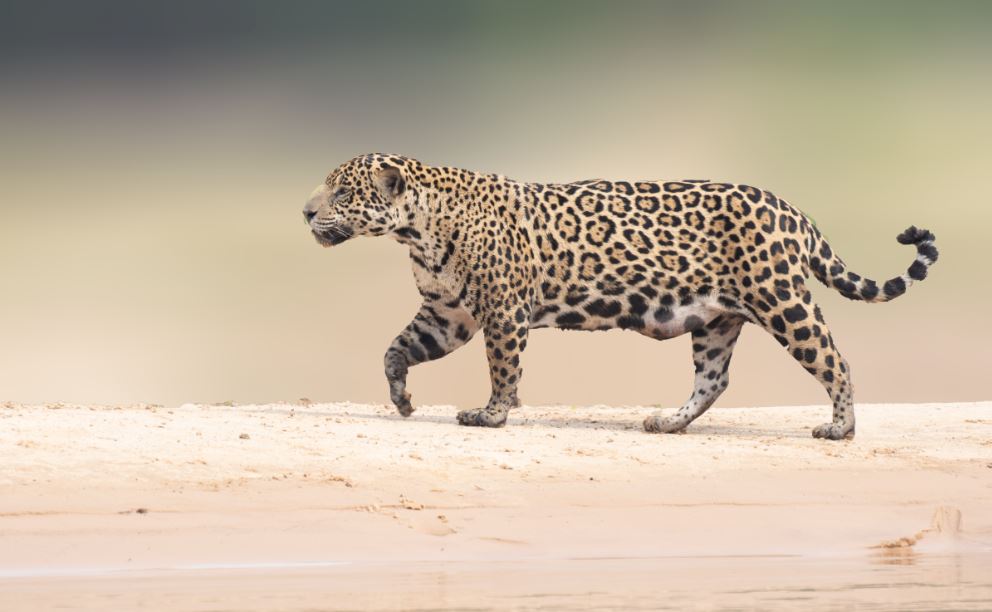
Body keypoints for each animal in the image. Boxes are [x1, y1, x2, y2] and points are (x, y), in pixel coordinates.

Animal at [303, 154, 938, 440]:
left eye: (341, 192)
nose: (306, 212)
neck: (415, 229)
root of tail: (793, 210)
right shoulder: (446, 313)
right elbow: (396, 348)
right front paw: (402, 399)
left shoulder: (502, 311)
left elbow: (503, 367)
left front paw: (492, 414)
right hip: (717, 320)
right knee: (714, 378)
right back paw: (669, 422)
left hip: (782, 301)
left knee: (834, 358)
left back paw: (841, 428)